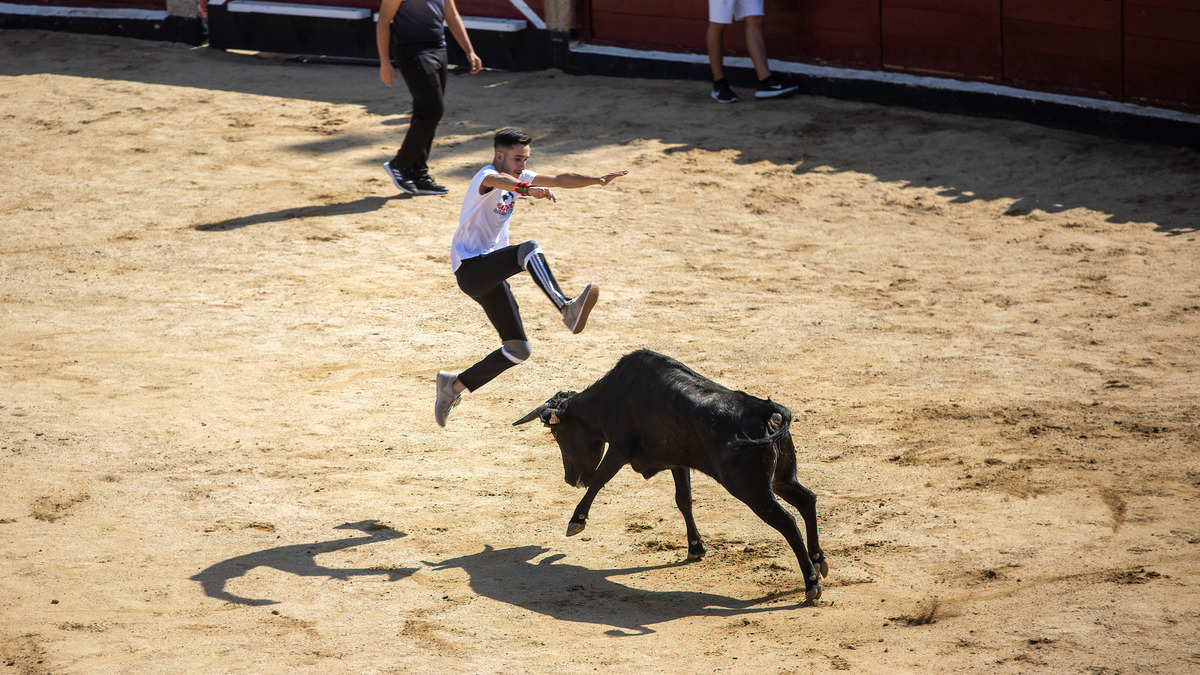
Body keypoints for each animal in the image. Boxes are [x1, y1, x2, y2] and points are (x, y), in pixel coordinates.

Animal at [511, 348, 830, 595]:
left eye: (557, 433)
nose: (570, 479)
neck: (611, 394)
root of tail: (764, 410)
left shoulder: (620, 448)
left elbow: (599, 480)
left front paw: (576, 521)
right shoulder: (678, 460)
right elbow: (683, 500)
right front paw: (695, 547)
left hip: (752, 490)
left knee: (787, 520)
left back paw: (811, 582)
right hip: (781, 479)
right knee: (807, 500)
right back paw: (818, 559)